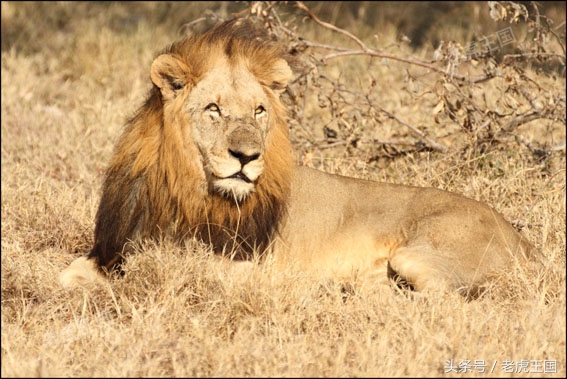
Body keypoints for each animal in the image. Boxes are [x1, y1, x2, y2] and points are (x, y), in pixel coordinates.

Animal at [60, 18, 540, 296]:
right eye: (214, 109)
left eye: (259, 111)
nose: (246, 156)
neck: (183, 188)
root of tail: (525, 242)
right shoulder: (113, 249)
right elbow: (70, 273)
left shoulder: (244, 262)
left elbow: (189, 271)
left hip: (416, 255)